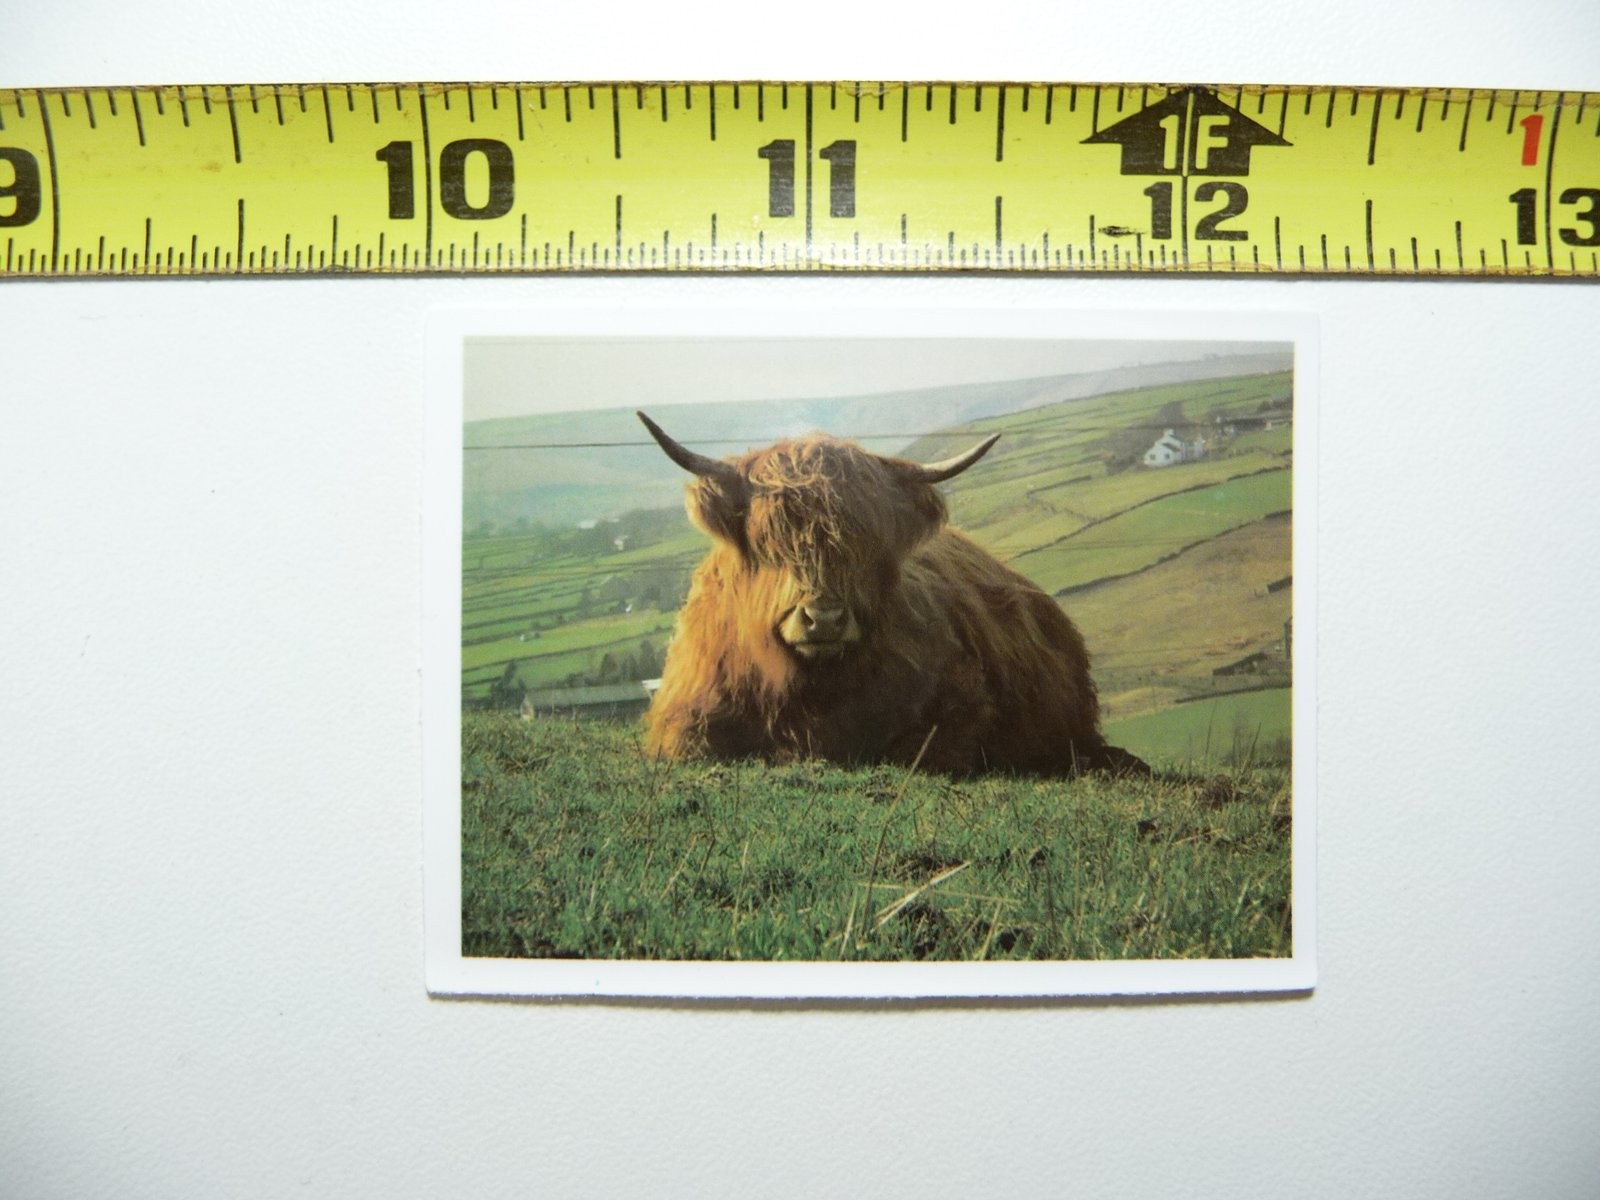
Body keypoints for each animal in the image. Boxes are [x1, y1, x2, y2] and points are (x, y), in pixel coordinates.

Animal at [636, 411, 1148, 777]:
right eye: (770, 540)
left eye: (868, 543)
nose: (824, 619)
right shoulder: (685, 718)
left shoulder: (960, 706)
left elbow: (918, 751)